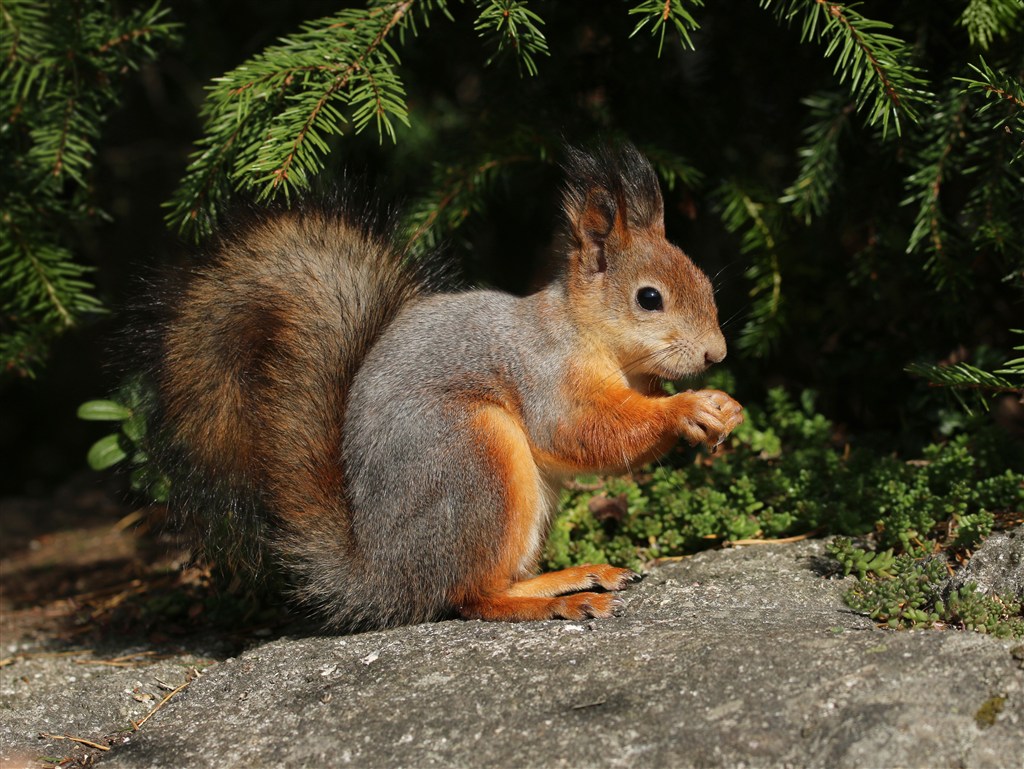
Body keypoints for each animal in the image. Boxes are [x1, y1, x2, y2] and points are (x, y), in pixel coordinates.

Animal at [153, 144, 745, 630]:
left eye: (703, 279)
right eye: (650, 298)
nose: (717, 355)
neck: (590, 335)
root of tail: (383, 573)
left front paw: (727, 409)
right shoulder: (546, 373)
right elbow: (583, 432)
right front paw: (688, 409)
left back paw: (571, 576)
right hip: (476, 458)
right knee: (470, 597)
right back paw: (561, 601)